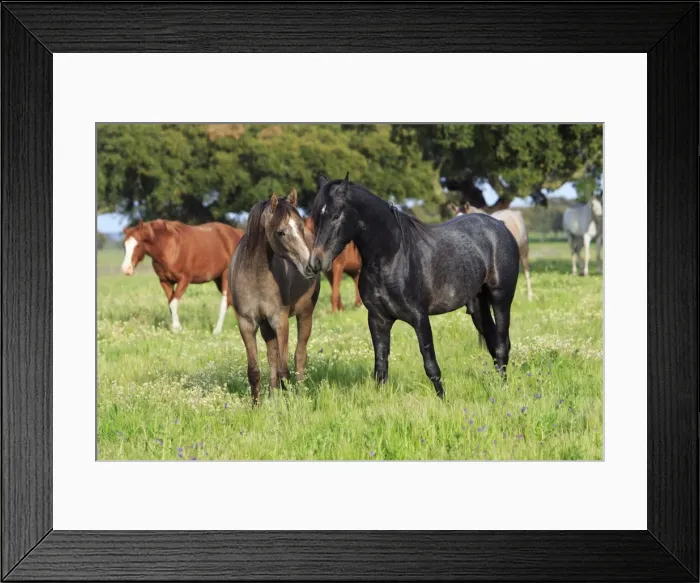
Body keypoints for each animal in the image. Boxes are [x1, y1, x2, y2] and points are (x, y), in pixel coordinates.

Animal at [228, 189, 320, 405]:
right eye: (280, 232)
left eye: (301, 226)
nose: (310, 266)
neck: (254, 274)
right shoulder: (246, 323)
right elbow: (254, 370)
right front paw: (256, 405)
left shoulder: (280, 321)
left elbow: (283, 369)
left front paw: (288, 404)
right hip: (265, 326)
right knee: (272, 356)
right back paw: (272, 396)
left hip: (305, 315)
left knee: (299, 356)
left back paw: (299, 393)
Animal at [299, 174, 520, 400]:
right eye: (315, 218)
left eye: (336, 216)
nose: (316, 261)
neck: (391, 257)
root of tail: (499, 225)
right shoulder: (378, 319)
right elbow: (381, 368)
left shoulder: (420, 318)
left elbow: (430, 364)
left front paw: (443, 400)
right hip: (478, 307)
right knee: (493, 343)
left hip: (501, 299)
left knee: (502, 345)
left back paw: (503, 390)